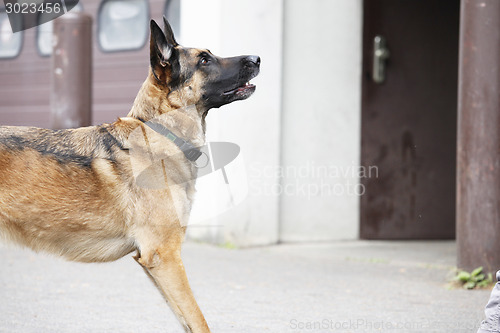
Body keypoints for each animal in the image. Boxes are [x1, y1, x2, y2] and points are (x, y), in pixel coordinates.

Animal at [0, 18, 260, 332]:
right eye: (204, 60)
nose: (257, 58)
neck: (161, 132)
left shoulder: (157, 263)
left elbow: (187, 320)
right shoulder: (165, 257)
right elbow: (198, 321)